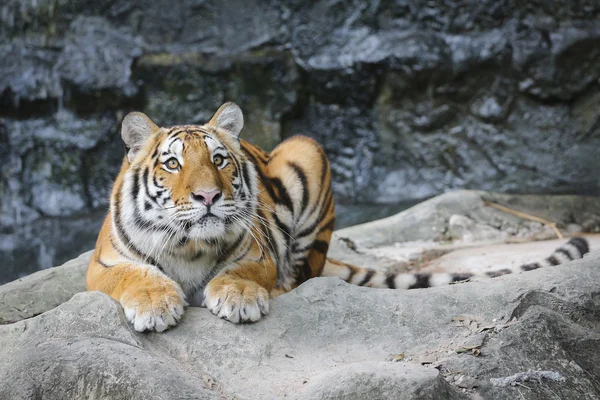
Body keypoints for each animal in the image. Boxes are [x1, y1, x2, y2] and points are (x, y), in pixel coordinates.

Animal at [86, 101, 592, 332]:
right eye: (172, 163)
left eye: (219, 160)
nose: (209, 195)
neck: (189, 246)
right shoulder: (104, 264)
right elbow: (135, 275)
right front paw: (155, 305)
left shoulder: (258, 254)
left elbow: (242, 272)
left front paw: (239, 298)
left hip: (307, 151)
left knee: (302, 274)